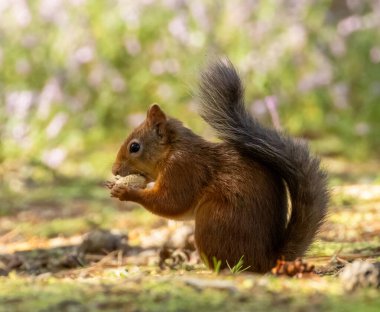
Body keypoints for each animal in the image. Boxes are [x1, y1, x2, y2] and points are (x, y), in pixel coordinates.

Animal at [105, 59, 328, 272]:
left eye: (134, 147)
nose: (114, 170)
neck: (172, 150)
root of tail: (269, 260)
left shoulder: (183, 168)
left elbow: (172, 202)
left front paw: (126, 192)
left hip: (213, 221)